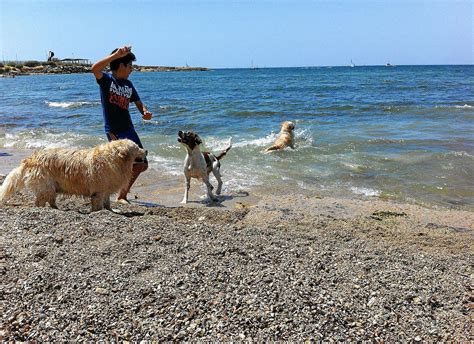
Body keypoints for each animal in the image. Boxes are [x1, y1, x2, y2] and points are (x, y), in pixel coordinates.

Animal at [0, 139, 146, 210]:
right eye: (137, 147)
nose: (146, 151)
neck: (113, 159)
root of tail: (29, 159)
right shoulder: (99, 191)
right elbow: (99, 205)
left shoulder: (106, 190)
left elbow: (107, 204)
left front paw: (112, 211)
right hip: (45, 186)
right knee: (40, 202)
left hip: (50, 188)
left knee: (50, 200)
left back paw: (57, 208)